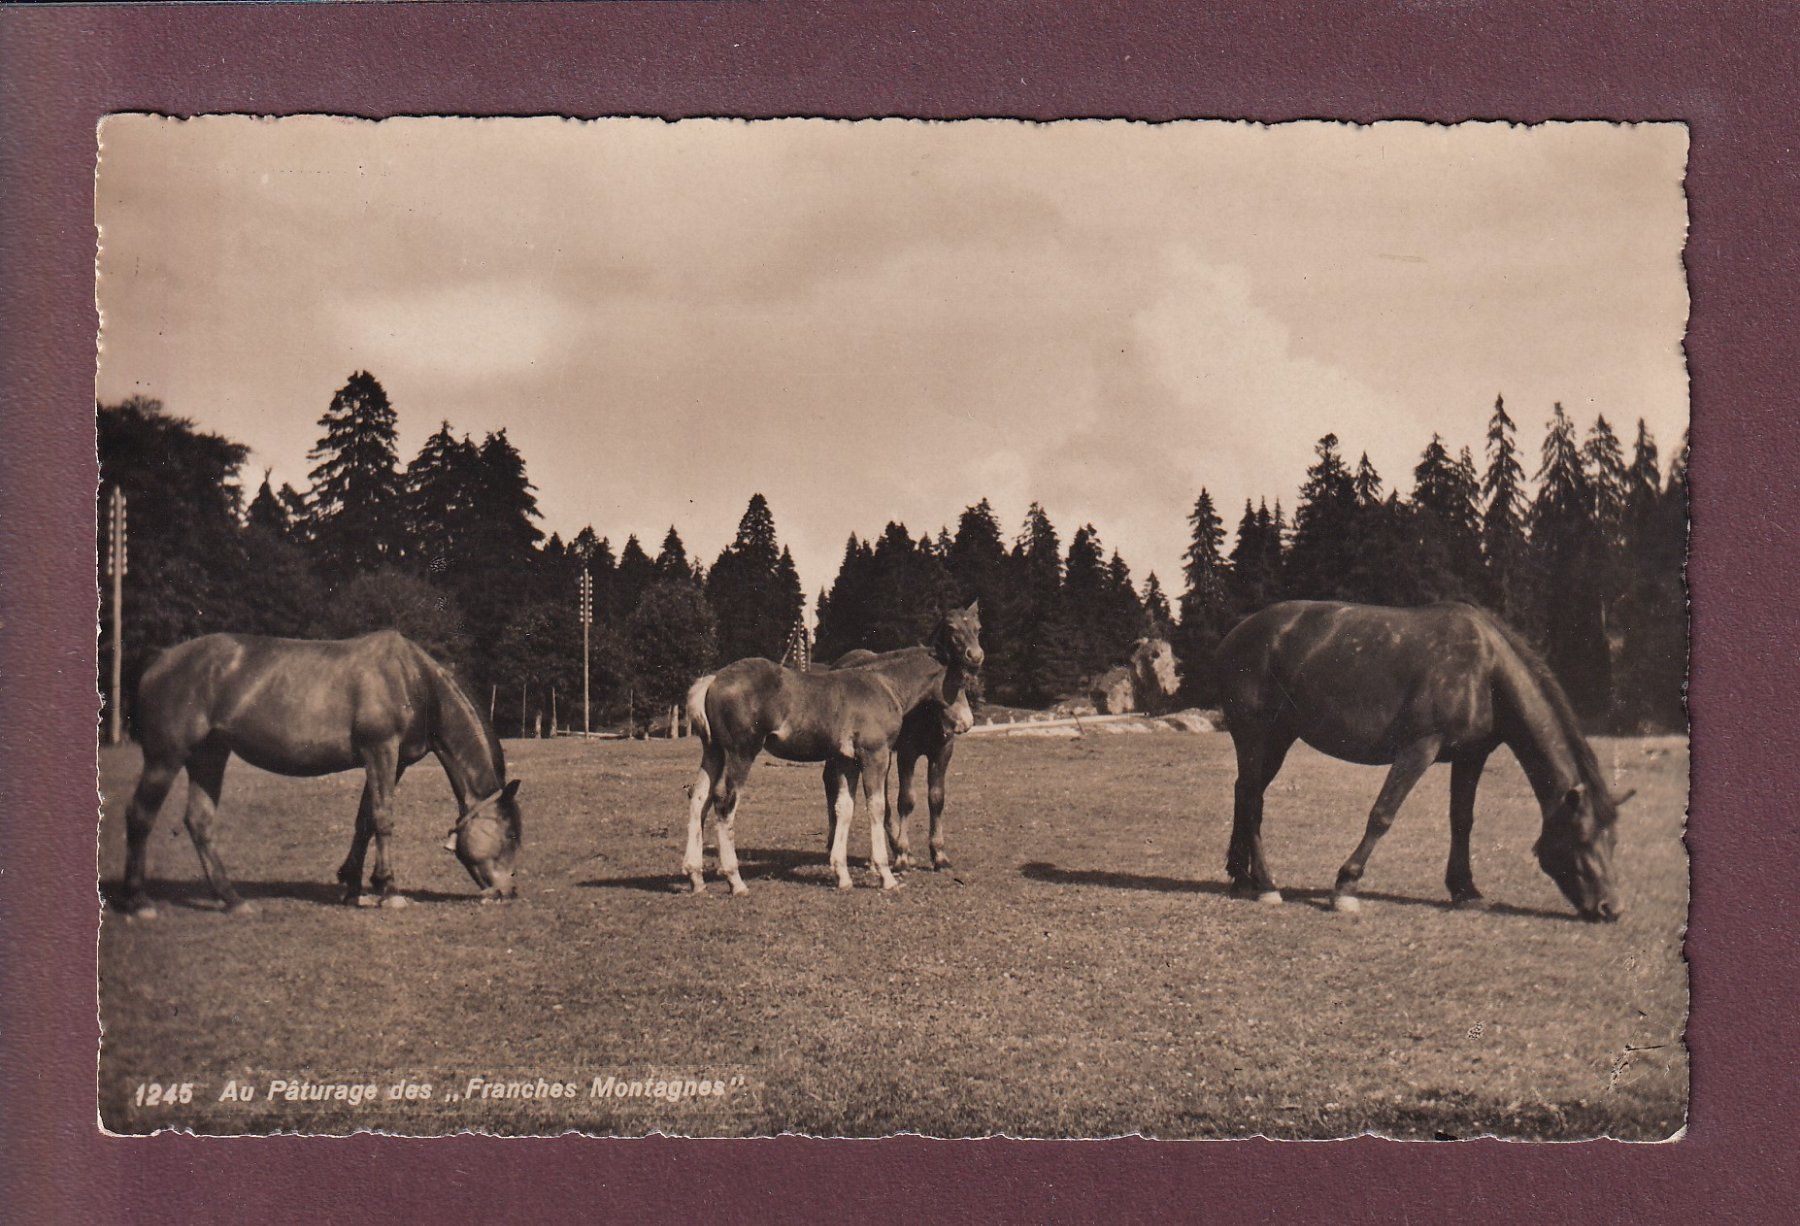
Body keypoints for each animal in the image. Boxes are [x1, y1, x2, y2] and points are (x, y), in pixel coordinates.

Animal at [115, 629, 523, 917]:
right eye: (511, 834)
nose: (509, 892)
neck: (412, 679)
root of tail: (161, 658)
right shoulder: (381, 750)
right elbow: (383, 819)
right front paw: (389, 890)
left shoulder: (391, 761)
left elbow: (365, 821)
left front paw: (353, 886)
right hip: (166, 757)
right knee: (140, 816)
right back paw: (139, 901)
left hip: (209, 755)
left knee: (199, 821)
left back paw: (233, 900)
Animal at [826, 647, 975, 871]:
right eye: (956, 682)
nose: (967, 722)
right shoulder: (907, 754)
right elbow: (906, 800)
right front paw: (903, 855)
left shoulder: (942, 754)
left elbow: (936, 798)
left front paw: (939, 854)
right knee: (830, 782)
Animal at [1215, 601, 1632, 921]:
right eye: (1582, 837)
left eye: (1614, 840)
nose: (1610, 908)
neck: (1485, 670)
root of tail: (1236, 634)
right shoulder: (1420, 748)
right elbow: (1383, 815)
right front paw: (1346, 886)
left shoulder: (1471, 756)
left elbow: (1462, 821)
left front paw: (1466, 890)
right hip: (1255, 735)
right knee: (1252, 800)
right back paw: (1266, 884)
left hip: (1278, 738)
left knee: (1243, 792)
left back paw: (1241, 878)